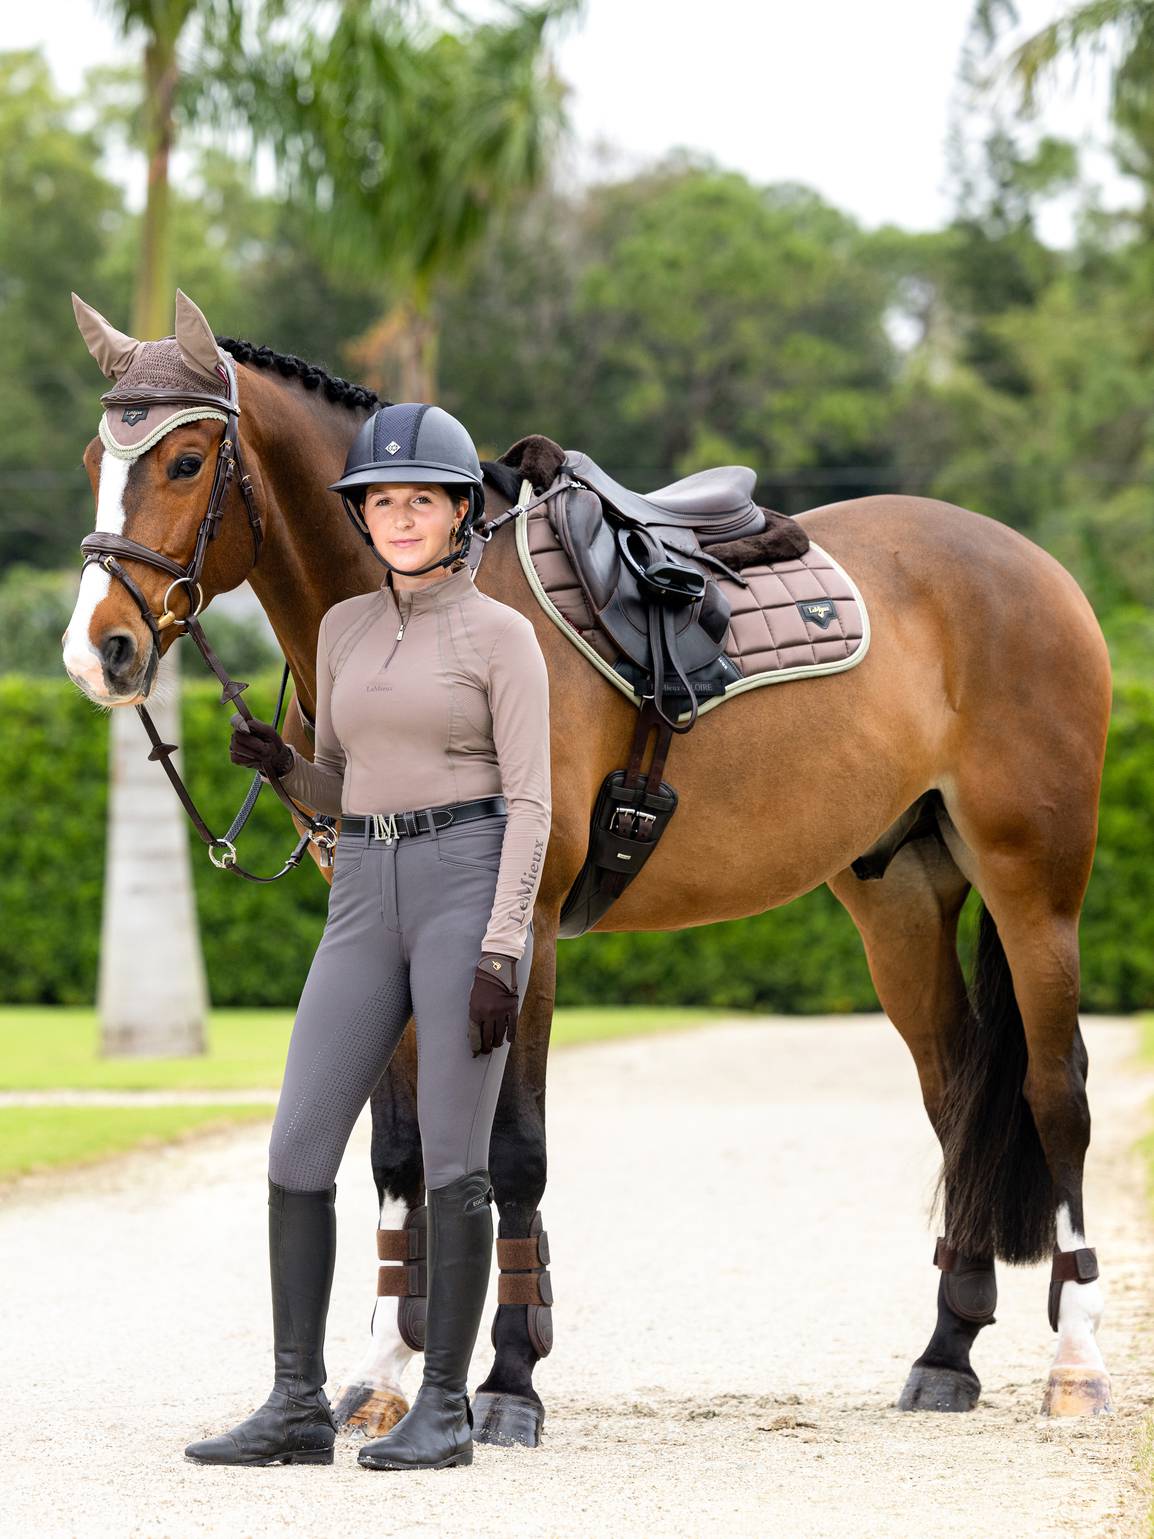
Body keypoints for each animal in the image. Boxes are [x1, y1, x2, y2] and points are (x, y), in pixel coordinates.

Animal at [63, 292, 1114, 1443]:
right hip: (900, 899)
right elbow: (399, 1153)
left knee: (1054, 1092)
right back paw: (945, 1352)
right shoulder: (379, 923)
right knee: (957, 1093)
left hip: (1033, 889)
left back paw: (1075, 1364)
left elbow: (514, 1150)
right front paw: (384, 1375)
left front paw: (509, 1381)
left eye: (186, 460)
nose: (98, 650)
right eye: (95, 458)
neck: (409, 620)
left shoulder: (516, 932)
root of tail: (1031, 565)